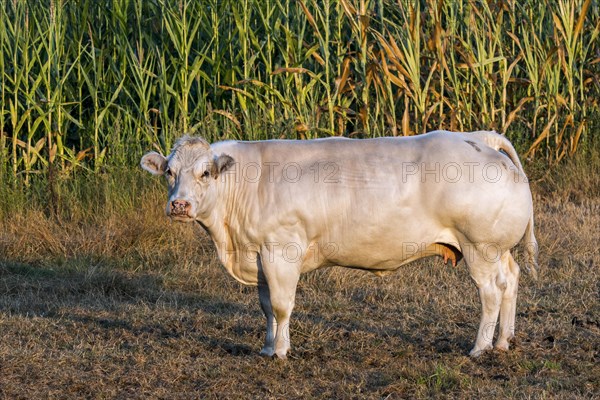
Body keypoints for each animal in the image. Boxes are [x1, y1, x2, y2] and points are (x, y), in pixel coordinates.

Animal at [142, 131, 540, 360]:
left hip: (479, 247)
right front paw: (268, 347)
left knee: (491, 292)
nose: (179, 205)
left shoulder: (281, 251)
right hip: (498, 250)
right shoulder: (259, 257)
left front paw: (281, 352)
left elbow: (283, 306)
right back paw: (503, 341)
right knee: (511, 280)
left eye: (205, 173)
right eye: (169, 172)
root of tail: (479, 138)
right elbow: (267, 306)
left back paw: (479, 348)